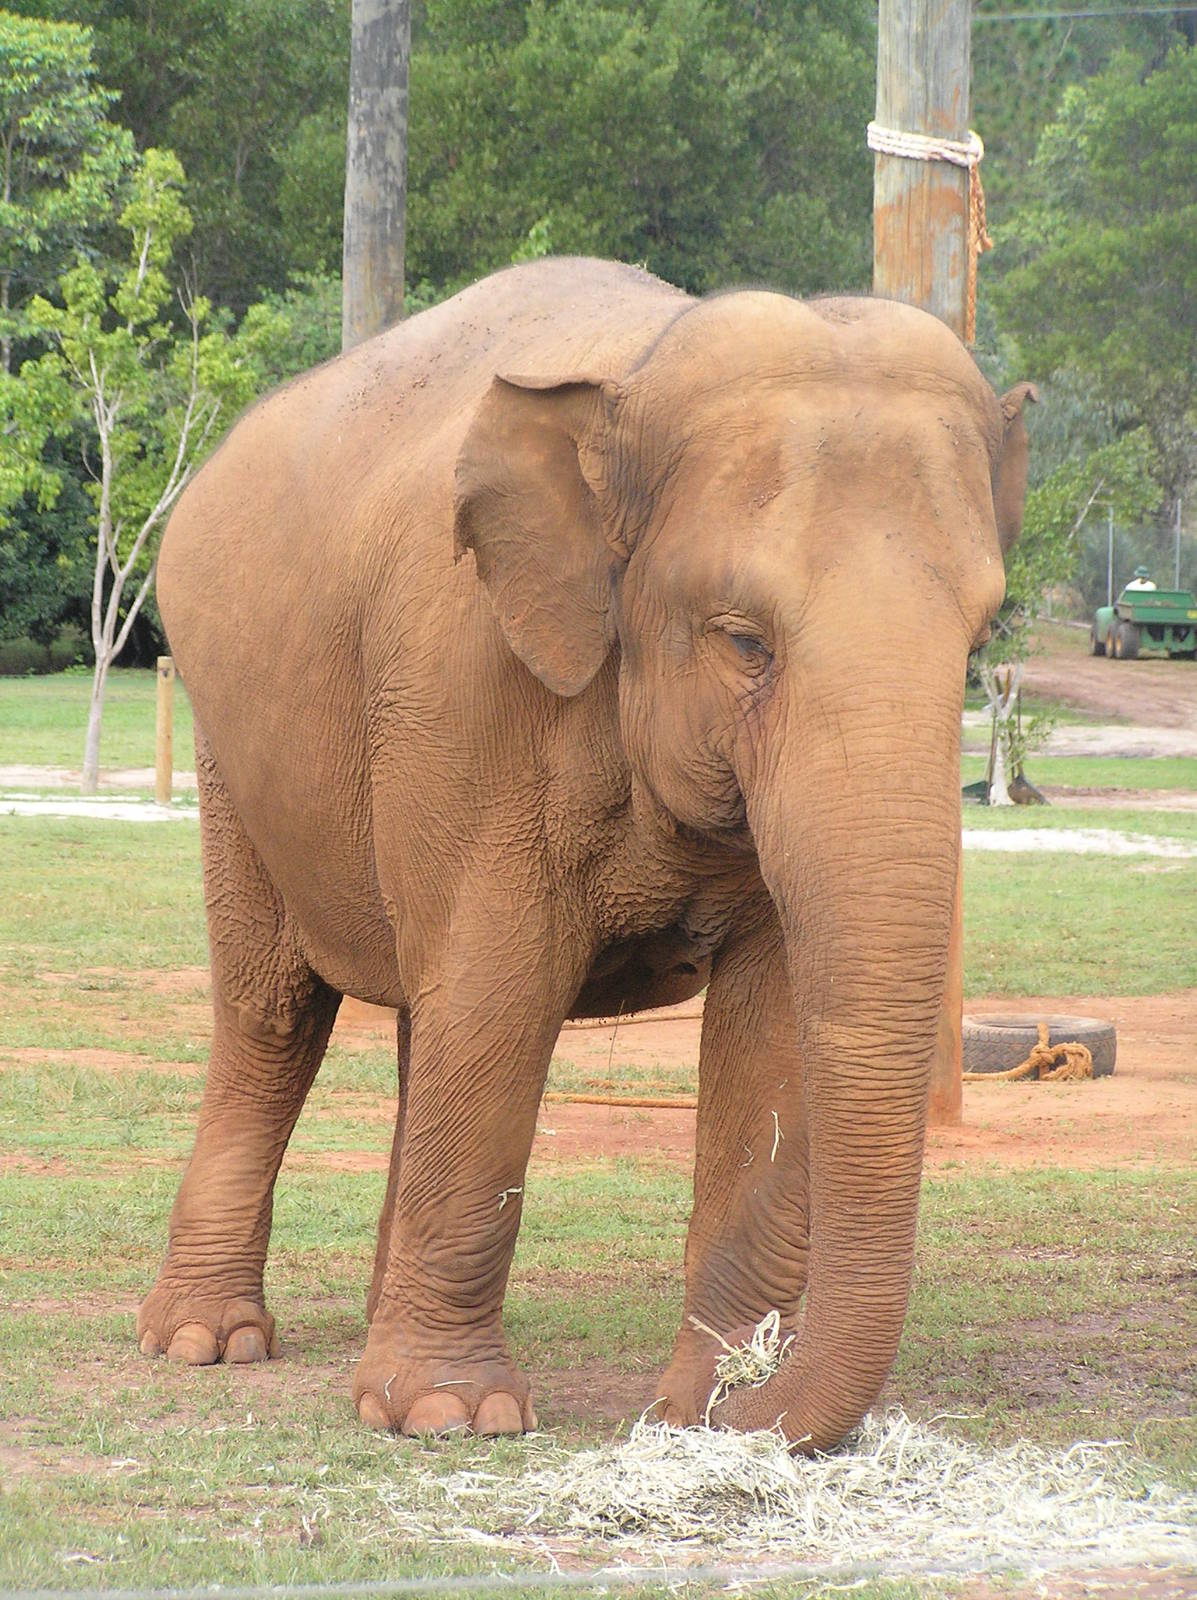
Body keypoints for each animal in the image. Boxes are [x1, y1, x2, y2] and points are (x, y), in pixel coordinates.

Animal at [140, 256, 1036, 1452]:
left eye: (980, 645)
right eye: (743, 640)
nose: (755, 1393)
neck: (642, 369)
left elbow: (766, 1027)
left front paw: (693, 1412)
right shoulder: (462, 685)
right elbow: (500, 992)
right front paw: (451, 1417)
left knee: (423, 1013)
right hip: (229, 745)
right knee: (275, 1013)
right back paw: (207, 1343)